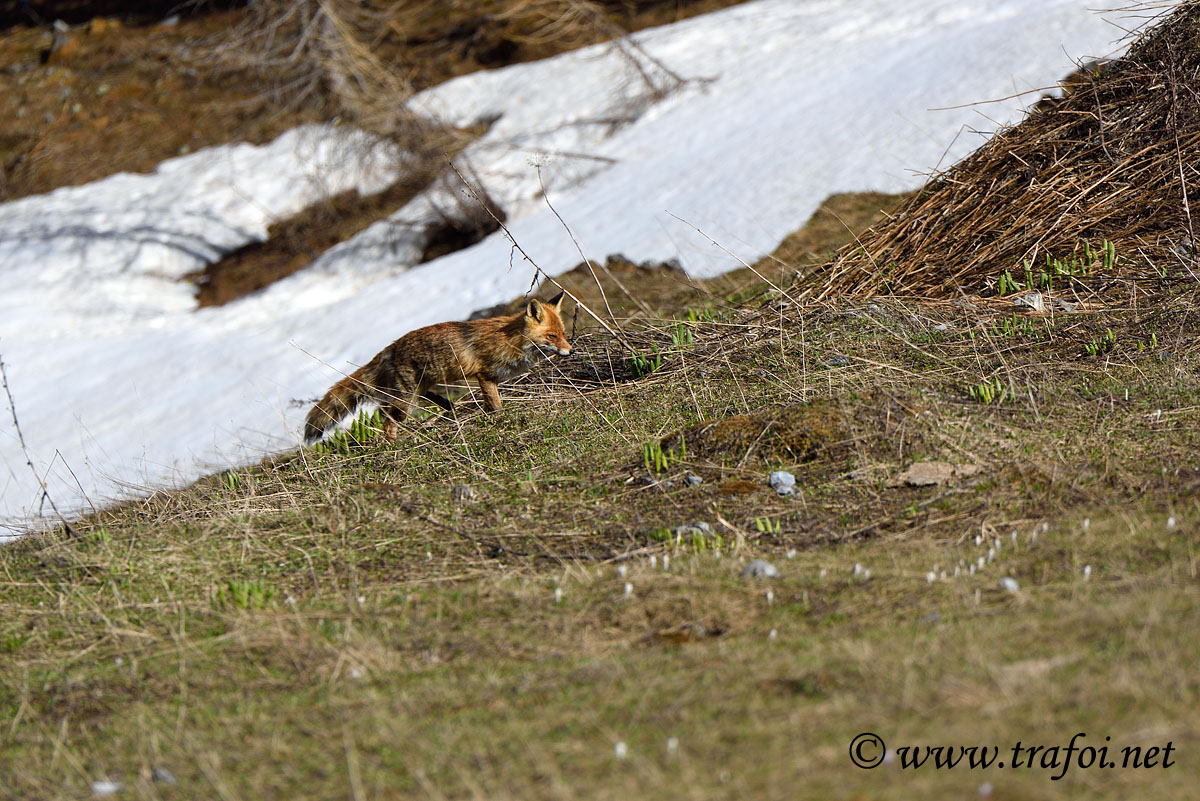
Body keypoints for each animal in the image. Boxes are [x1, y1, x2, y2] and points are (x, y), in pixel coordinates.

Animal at [304, 291, 572, 444]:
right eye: (551, 336)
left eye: (563, 333)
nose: (571, 351)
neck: (512, 339)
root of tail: (388, 349)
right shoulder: (484, 375)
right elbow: (495, 405)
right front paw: (500, 419)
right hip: (406, 403)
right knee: (386, 420)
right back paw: (393, 445)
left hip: (416, 390)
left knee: (402, 404)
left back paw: (447, 407)